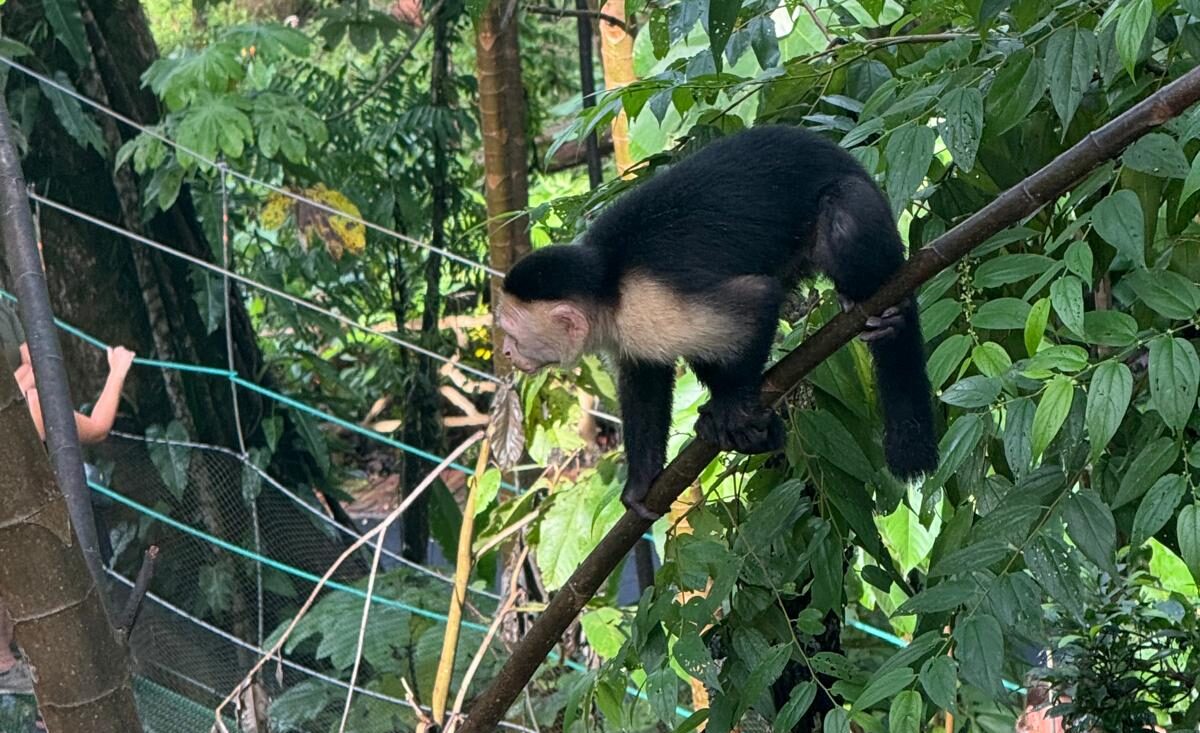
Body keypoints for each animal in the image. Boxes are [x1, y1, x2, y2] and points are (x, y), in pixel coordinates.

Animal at [496, 124, 939, 520]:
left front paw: (732, 409)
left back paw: (889, 316)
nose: (505, 352)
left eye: (511, 333)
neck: (609, 282)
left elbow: (755, 299)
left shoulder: (646, 303)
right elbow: (645, 381)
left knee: (842, 211)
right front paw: (642, 482)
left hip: (862, 211)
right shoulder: (630, 330)